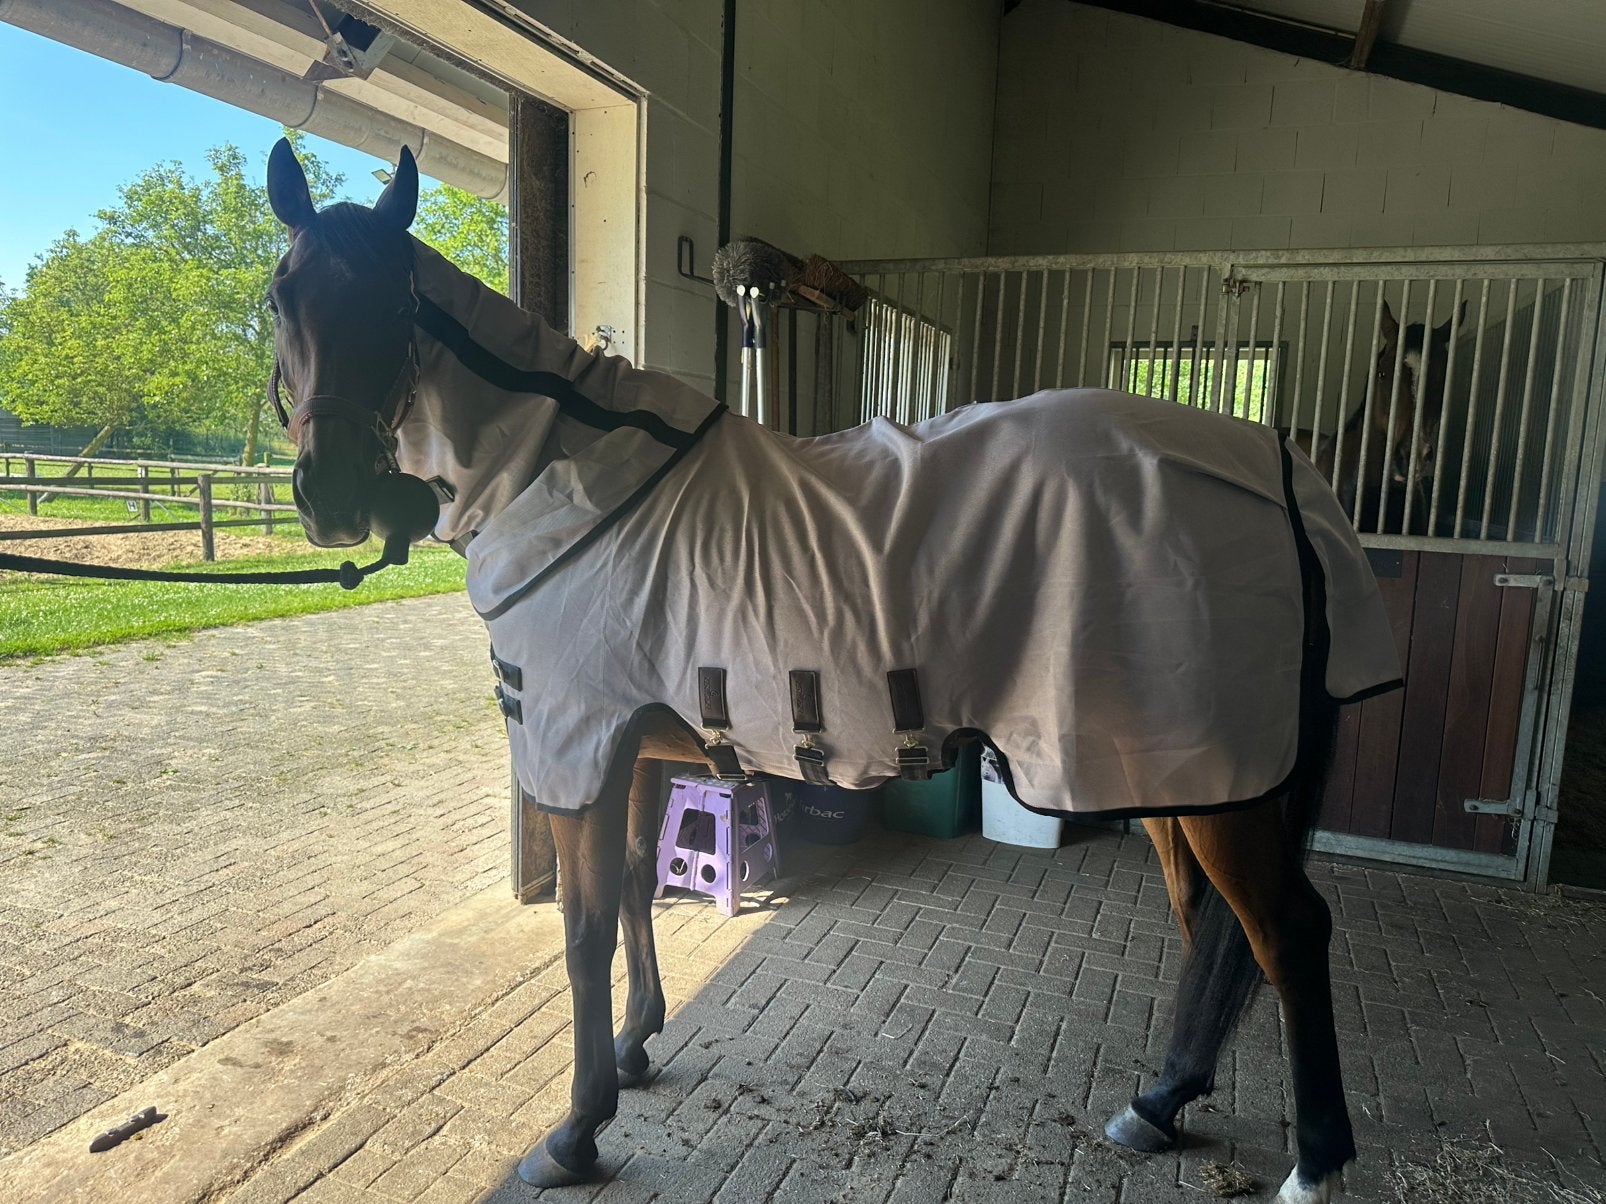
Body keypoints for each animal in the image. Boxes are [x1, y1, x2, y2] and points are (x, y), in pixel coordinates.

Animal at [263, 138, 1404, 1204]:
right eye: (283, 297)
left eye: (393, 302)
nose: (331, 498)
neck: (567, 471)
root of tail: (1275, 466)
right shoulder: (635, 750)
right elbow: (634, 888)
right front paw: (634, 1050)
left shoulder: (576, 747)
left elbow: (583, 932)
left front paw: (575, 1130)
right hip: (1174, 773)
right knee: (1210, 927)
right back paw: (1159, 1104)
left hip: (1211, 779)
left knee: (1286, 932)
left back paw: (1313, 1163)